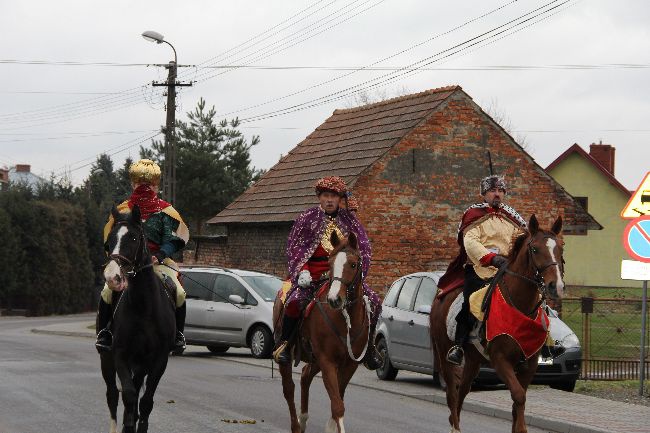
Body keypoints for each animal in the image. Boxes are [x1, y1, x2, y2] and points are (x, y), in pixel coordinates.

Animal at [99, 206, 175, 432]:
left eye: (133, 238)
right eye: (109, 241)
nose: (112, 277)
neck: (144, 308)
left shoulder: (159, 360)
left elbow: (146, 401)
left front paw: (138, 425)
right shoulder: (120, 355)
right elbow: (129, 395)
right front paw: (128, 425)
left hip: (141, 364)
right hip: (106, 359)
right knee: (113, 394)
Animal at [270, 233, 370, 432]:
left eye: (353, 264)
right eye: (329, 263)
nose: (334, 299)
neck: (345, 320)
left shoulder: (350, 364)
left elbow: (338, 398)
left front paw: (330, 426)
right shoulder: (327, 361)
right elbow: (337, 405)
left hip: (314, 359)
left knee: (305, 376)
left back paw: (303, 419)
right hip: (290, 354)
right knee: (289, 388)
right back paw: (296, 426)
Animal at [428, 213, 560, 432]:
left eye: (561, 248)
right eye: (535, 249)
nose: (555, 286)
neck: (520, 307)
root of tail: (440, 295)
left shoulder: (529, 364)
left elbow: (518, 403)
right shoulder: (500, 360)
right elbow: (518, 396)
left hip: (473, 360)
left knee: (463, 391)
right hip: (445, 353)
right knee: (452, 393)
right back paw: (455, 427)